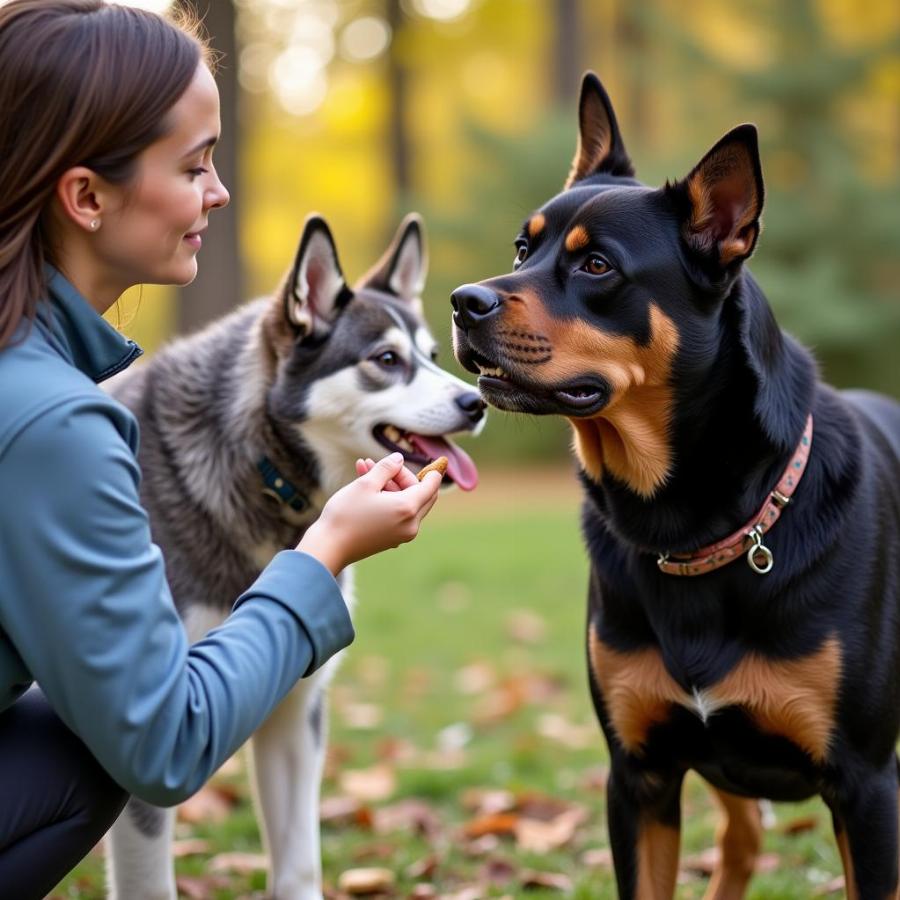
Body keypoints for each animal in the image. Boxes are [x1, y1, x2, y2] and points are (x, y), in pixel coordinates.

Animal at [454, 74, 896, 896]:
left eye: (597, 268)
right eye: (523, 247)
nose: (464, 302)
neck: (688, 523)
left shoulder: (866, 785)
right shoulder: (640, 775)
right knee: (743, 839)